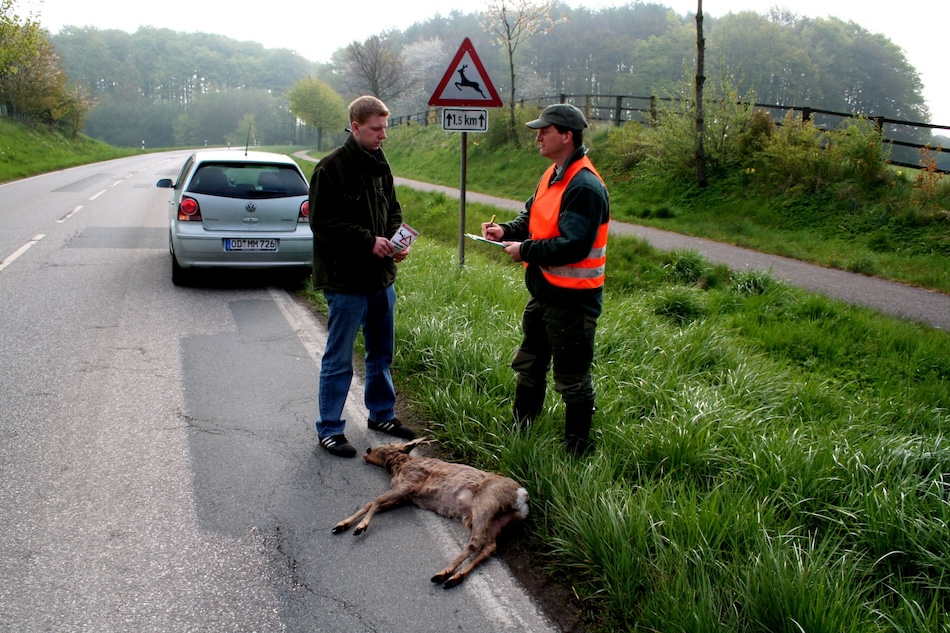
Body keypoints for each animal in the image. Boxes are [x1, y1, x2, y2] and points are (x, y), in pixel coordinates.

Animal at [332, 436, 528, 584]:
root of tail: (522, 497)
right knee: (489, 547)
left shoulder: (410, 482)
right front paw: (342, 524)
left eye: (387, 444)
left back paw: (444, 572)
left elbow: (377, 500)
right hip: (498, 520)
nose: (368, 449)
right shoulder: (406, 497)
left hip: (485, 503)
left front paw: (361, 527)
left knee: (476, 541)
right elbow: (372, 503)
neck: (399, 466)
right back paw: (455, 578)